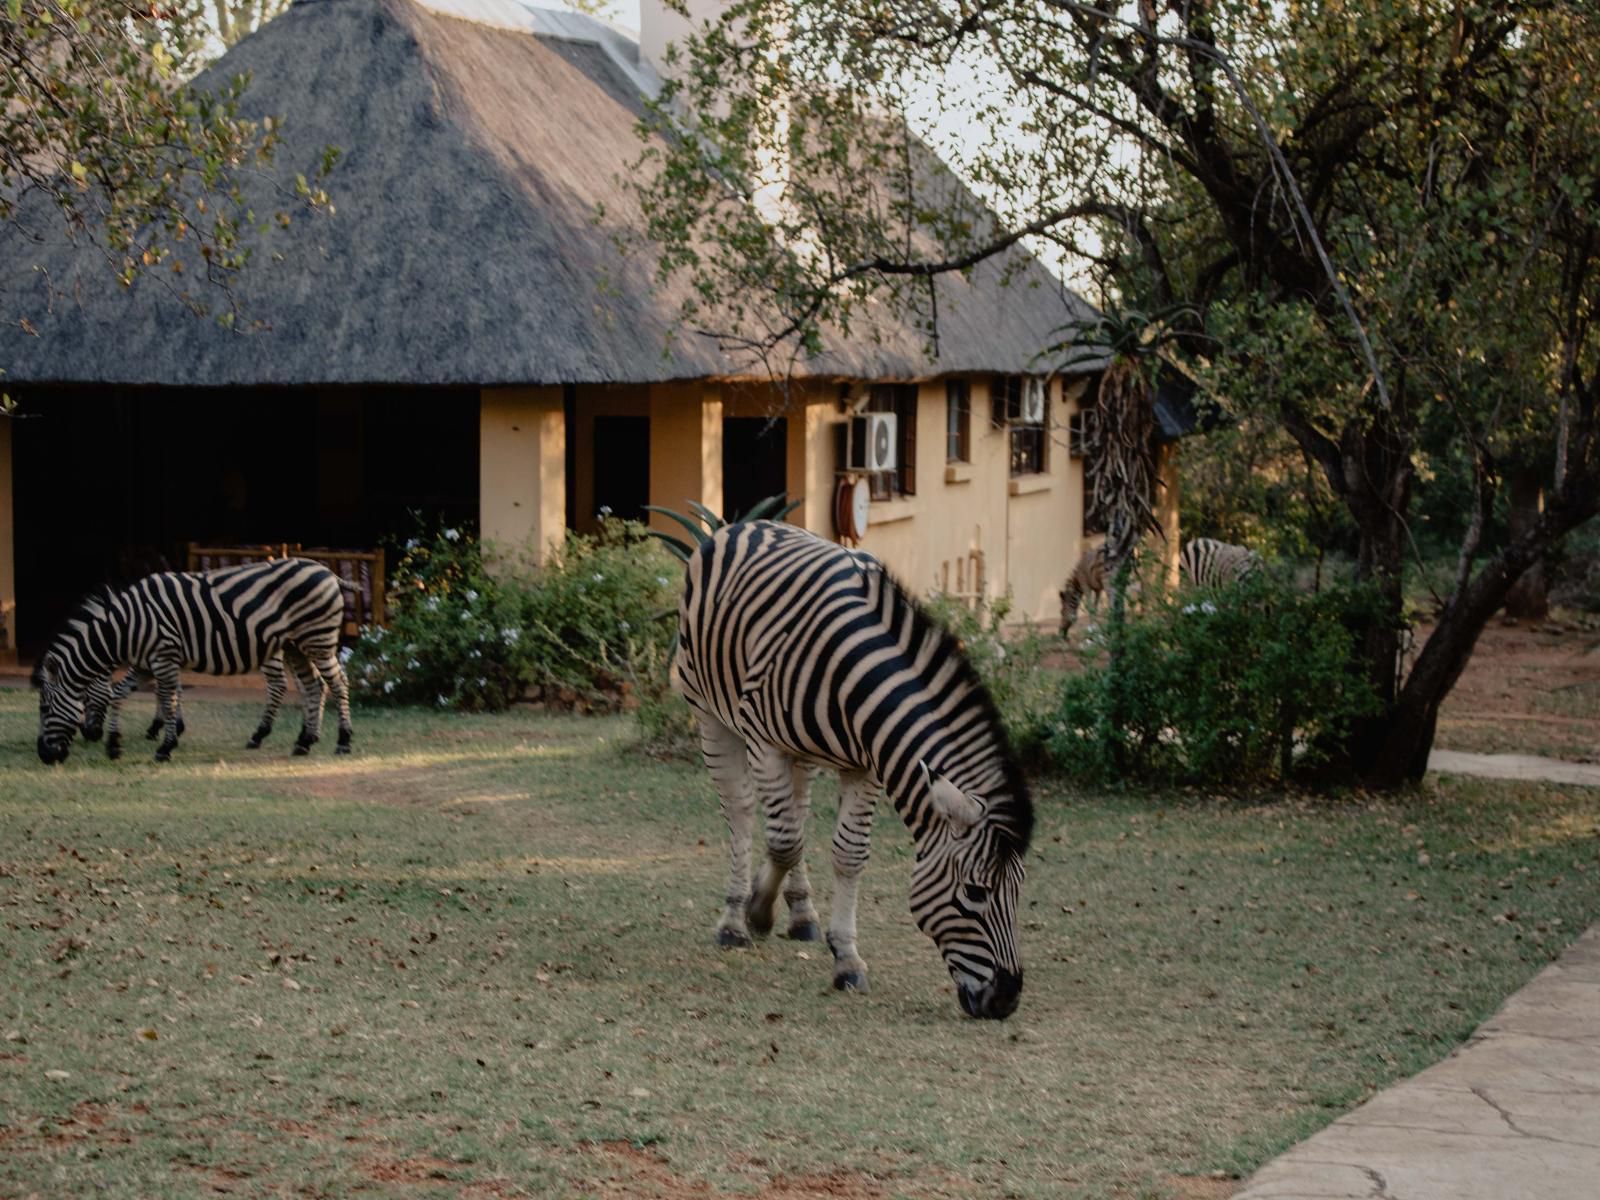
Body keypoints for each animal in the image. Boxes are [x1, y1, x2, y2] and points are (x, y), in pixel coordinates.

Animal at [34, 560, 353, 764]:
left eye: (45, 708)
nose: (44, 756)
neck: (125, 627)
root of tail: (329, 572)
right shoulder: (145, 664)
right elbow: (119, 694)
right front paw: (114, 745)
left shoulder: (163, 656)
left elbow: (168, 697)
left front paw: (165, 745)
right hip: (295, 646)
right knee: (314, 686)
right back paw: (304, 742)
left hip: (317, 639)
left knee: (337, 683)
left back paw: (343, 741)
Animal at [668, 521, 1030, 1017]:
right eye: (975, 892)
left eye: (1020, 890)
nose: (1006, 1000)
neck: (858, 676)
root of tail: (749, 524)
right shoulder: (763, 743)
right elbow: (784, 843)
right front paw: (759, 908)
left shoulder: (867, 768)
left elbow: (847, 853)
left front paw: (846, 957)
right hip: (709, 712)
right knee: (744, 814)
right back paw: (735, 920)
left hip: (800, 752)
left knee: (795, 813)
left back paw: (802, 914)